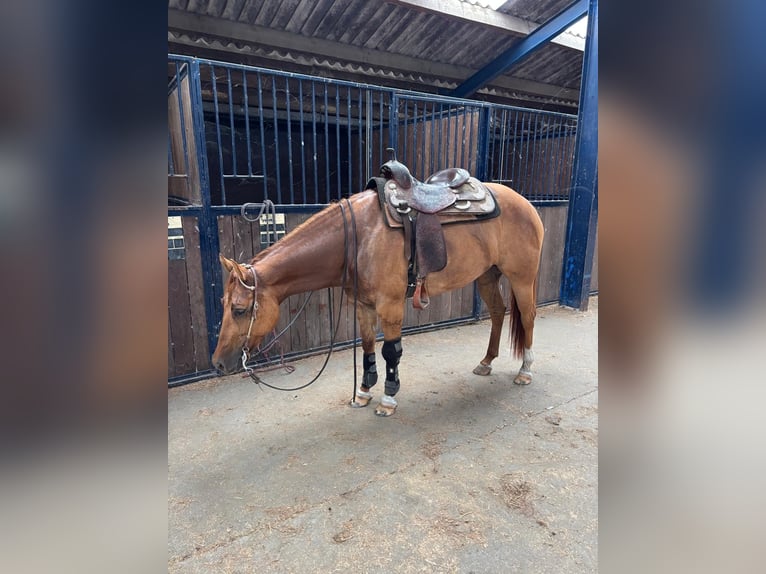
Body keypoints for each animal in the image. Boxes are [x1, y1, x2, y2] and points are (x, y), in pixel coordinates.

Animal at [211, 180, 544, 417]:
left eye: (239, 309)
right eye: (224, 306)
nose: (218, 364)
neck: (359, 238)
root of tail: (525, 203)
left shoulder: (390, 306)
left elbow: (391, 352)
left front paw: (388, 397)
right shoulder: (363, 306)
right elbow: (368, 347)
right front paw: (363, 392)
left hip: (522, 277)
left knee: (527, 316)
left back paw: (525, 371)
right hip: (487, 276)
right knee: (499, 312)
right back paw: (486, 362)